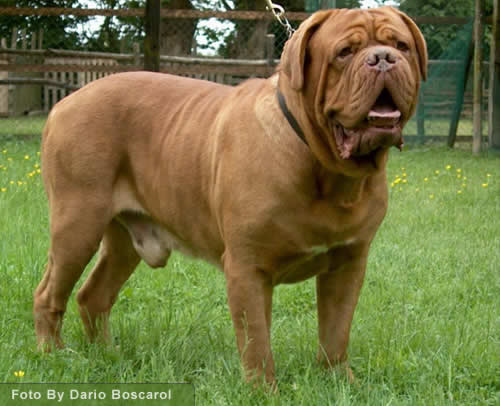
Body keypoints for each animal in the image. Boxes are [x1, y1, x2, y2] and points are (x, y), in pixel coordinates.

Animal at [34, 7, 426, 386]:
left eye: (402, 46)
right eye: (344, 52)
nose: (383, 58)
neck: (326, 168)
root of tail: (65, 102)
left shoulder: (348, 263)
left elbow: (335, 331)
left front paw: (340, 381)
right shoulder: (247, 268)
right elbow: (257, 342)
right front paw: (263, 392)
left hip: (122, 243)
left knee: (93, 296)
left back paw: (107, 356)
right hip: (77, 225)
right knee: (49, 294)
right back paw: (53, 355)